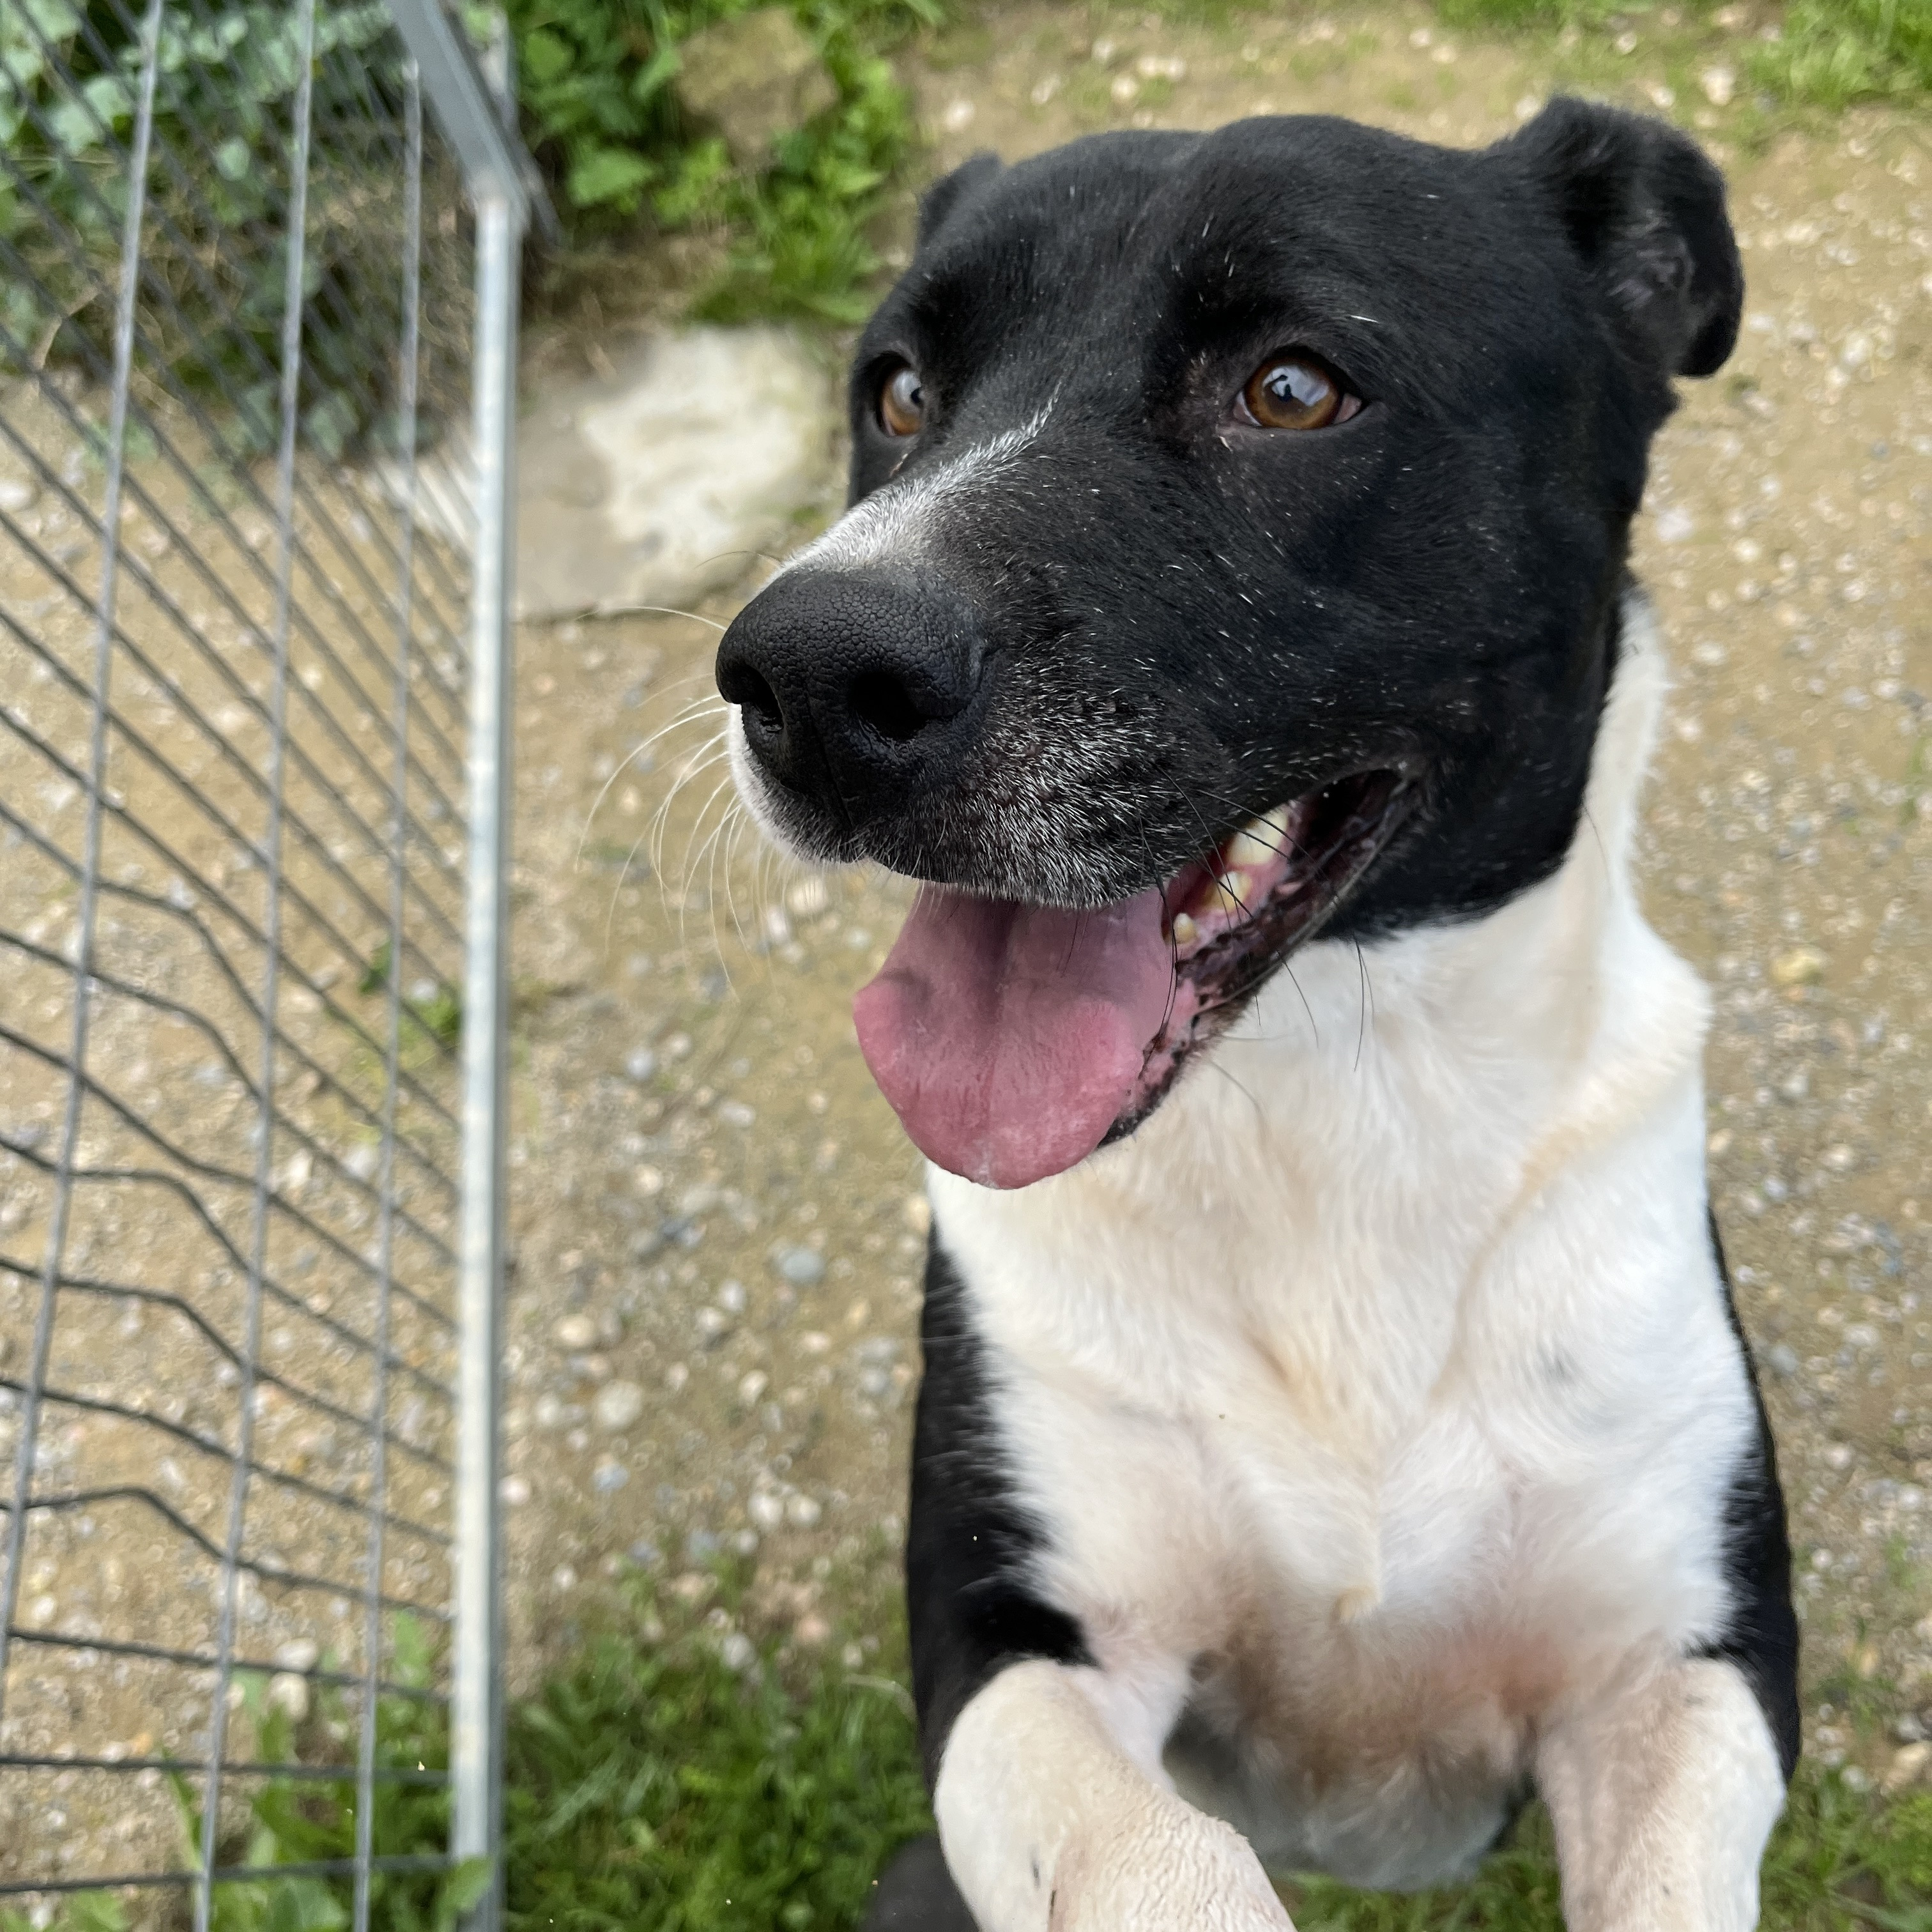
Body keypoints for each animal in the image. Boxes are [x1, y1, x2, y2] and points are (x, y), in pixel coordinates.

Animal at [715, 99, 1798, 1932]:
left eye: (1293, 389)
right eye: (899, 393)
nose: (803, 672)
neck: (1334, 1098)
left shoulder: (1686, 1663)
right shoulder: (1014, 1651)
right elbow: (1148, 1850)